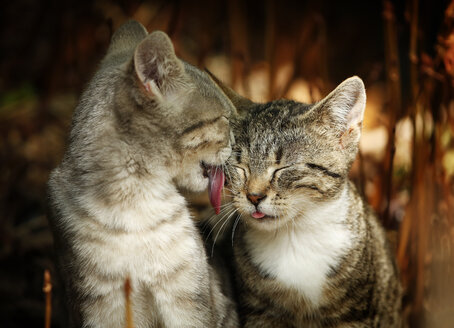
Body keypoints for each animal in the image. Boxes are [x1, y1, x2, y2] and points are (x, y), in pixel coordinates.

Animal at [211, 75, 402, 326]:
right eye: (240, 167)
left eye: (283, 168)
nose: (253, 196)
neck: (294, 235)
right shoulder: (258, 313)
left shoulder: (355, 314)